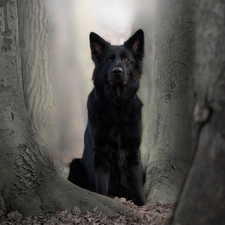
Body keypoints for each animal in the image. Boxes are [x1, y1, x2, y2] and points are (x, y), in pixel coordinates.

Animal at [68, 29, 145, 206]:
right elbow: (102, 188)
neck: (117, 106)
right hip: (75, 165)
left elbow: (138, 186)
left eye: (126, 59)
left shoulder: (134, 153)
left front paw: (142, 204)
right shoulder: (101, 155)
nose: (117, 71)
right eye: (109, 59)